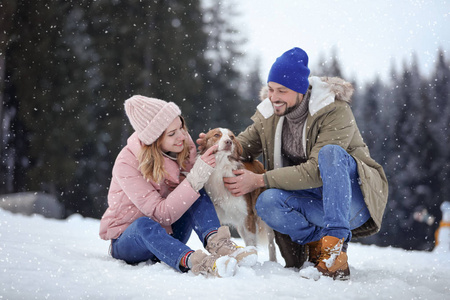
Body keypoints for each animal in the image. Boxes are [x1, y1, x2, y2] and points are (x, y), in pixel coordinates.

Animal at [201, 127, 278, 262]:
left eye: (231, 137)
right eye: (217, 135)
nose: (228, 142)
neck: (221, 168)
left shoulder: (247, 215)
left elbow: (252, 244)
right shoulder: (218, 215)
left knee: (271, 244)